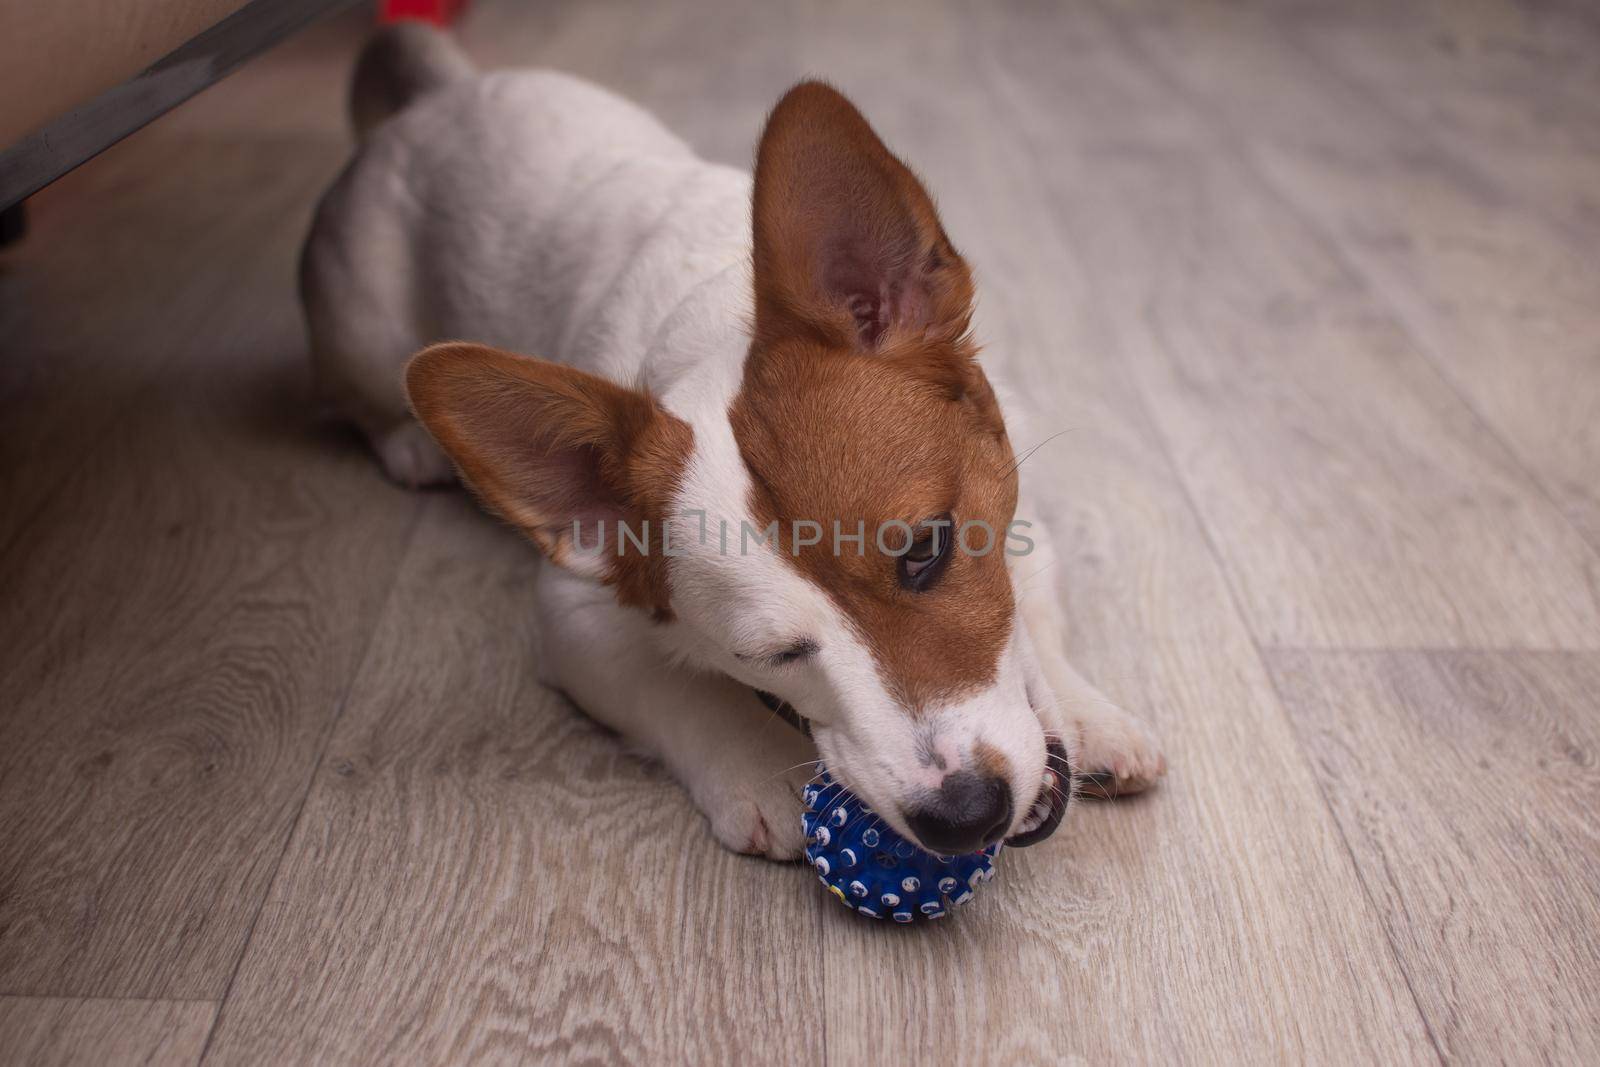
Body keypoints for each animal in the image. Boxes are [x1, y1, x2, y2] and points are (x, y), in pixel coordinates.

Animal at [302, 22, 1164, 857]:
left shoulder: (1022, 509)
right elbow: (679, 688)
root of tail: (434, 100)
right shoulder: (577, 614)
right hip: (361, 322)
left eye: (927, 551)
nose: (964, 814)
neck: (713, 319)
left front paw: (1088, 710)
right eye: (770, 656)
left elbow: (1028, 613)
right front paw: (758, 763)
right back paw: (409, 443)